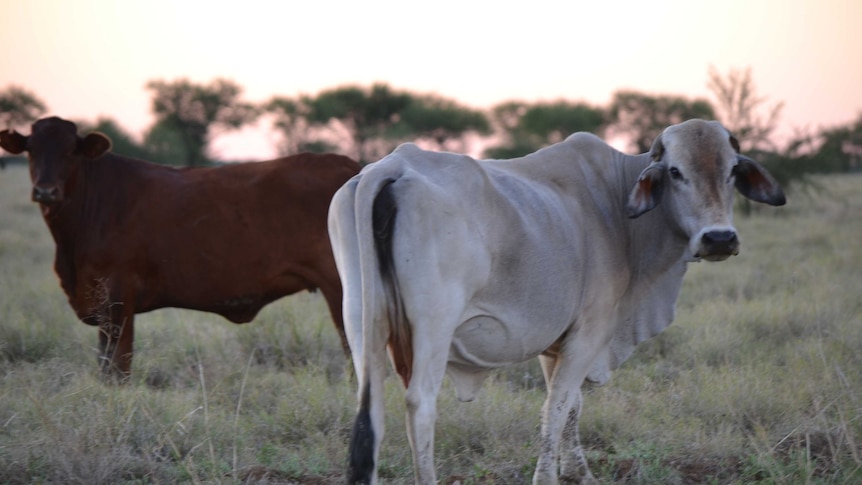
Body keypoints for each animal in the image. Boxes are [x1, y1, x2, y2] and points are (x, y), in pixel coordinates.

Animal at [0, 115, 362, 380]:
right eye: (31, 149)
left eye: (70, 151)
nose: (45, 191)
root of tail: (353, 166)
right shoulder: (101, 306)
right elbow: (104, 367)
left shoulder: (119, 300)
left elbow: (119, 370)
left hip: (343, 289)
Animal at [328, 118, 788, 484]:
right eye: (676, 172)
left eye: (732, 170)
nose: (719, 238)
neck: (617, 206)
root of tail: (393, 165)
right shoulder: (590, 331)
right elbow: (557, 407)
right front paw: (552, 476)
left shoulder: (555, 343)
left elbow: (571, 408)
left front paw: (578, 472)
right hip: (433, 327)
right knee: (419, 405)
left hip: (361, 319)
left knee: (369, 410)